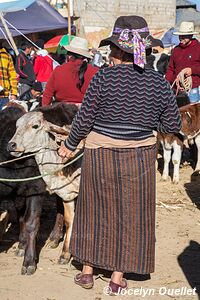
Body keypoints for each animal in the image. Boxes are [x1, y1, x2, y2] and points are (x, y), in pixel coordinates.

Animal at [7, 109, 83, 264]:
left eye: (35, 126)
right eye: (17, 126)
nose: (11, 145)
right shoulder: (66, 194)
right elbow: (69, 220)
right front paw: (65, 254)